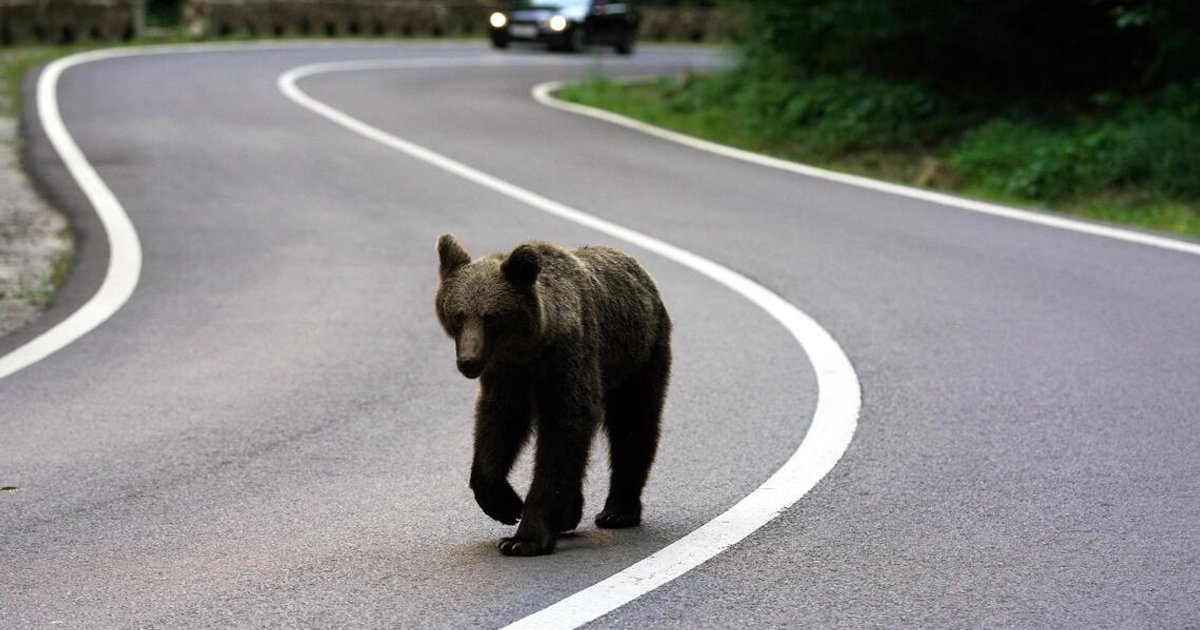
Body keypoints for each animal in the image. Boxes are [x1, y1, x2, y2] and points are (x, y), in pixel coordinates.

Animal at [435, 234, 672, 557]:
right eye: (458, 315)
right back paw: (571, 514)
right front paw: (506, 504)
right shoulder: (506, 375)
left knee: (633, 425)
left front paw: (523, 538)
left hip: (638, 356)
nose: (468, 361)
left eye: (491, 317)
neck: (529, 349)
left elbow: (563, 433)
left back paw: (617, 511)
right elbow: (497, 427)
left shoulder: (566, 360)